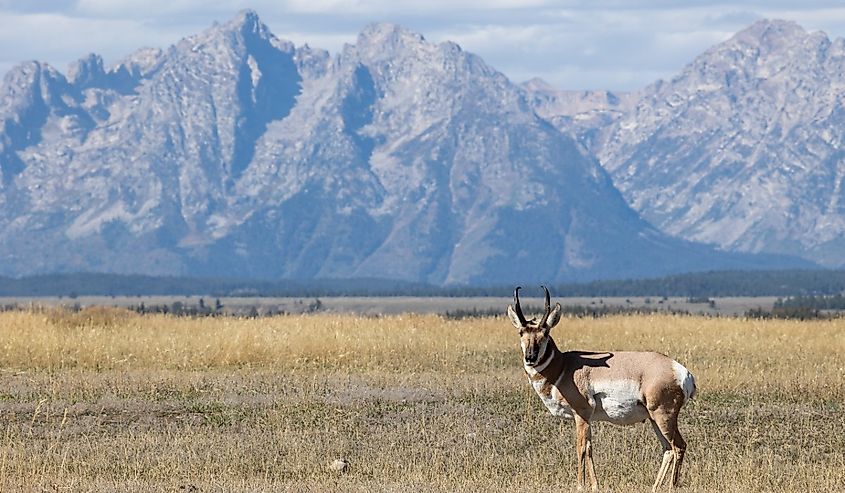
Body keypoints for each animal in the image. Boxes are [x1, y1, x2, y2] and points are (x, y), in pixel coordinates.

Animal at [507, 286, 696, 491]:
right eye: (521, 333)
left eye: (545, 333)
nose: (530, 358)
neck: (564, 366)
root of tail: (681, 371)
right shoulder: (588, 419)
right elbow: (590, 448)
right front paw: (595, 485)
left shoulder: (581, 415)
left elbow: (581, 448)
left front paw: (580, 485)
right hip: (654, 419)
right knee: (668, 449)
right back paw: (654, 487)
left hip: (663, 417)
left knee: (679, 446)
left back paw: (671, 487)